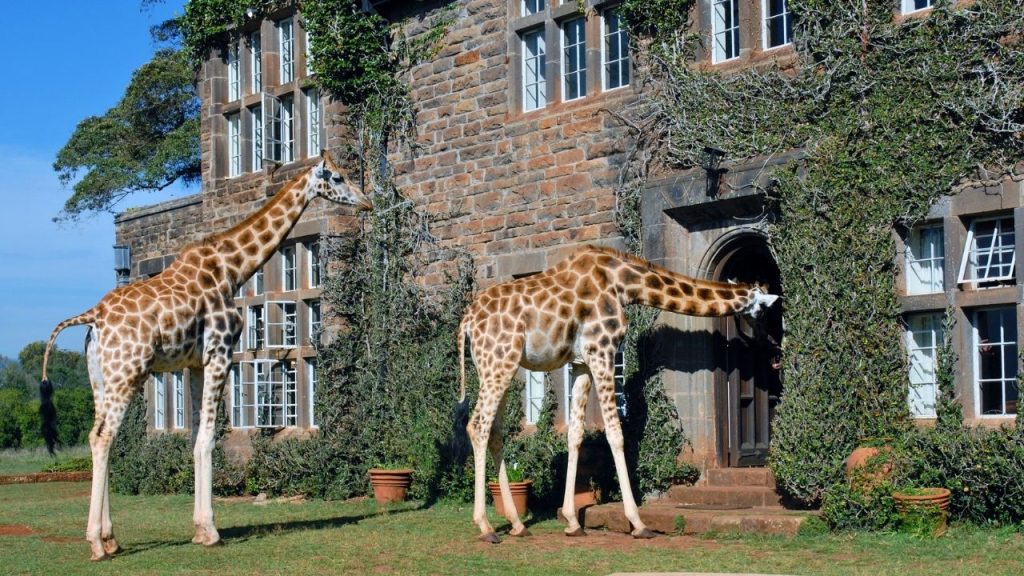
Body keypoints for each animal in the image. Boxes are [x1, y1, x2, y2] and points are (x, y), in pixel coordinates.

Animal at [39, 151, 372, 561]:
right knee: (103, 438)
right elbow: (209, 439)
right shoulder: (220, 353)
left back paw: (110, 538)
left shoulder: (195, 364)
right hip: (127, 372)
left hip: (100, 378)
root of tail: (94, 318)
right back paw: (97, 545)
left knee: (96, 437)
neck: (232, 269)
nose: (366, 202)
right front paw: (210, 530)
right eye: (337, 178)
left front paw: (199, 529)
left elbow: (197, 435)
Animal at [456, 245, 779, 543]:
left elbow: (576, 434)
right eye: (764, 310)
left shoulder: (581, 363)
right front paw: (638, 522)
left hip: (499, 367)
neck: (624, 284)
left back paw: (517, 524)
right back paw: (486, 527)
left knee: (493, 432)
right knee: (478, 426)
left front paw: (572, 522)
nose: (773, 344)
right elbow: (615, 433)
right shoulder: (603, 350)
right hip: (499, 363)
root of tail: (466, 322)